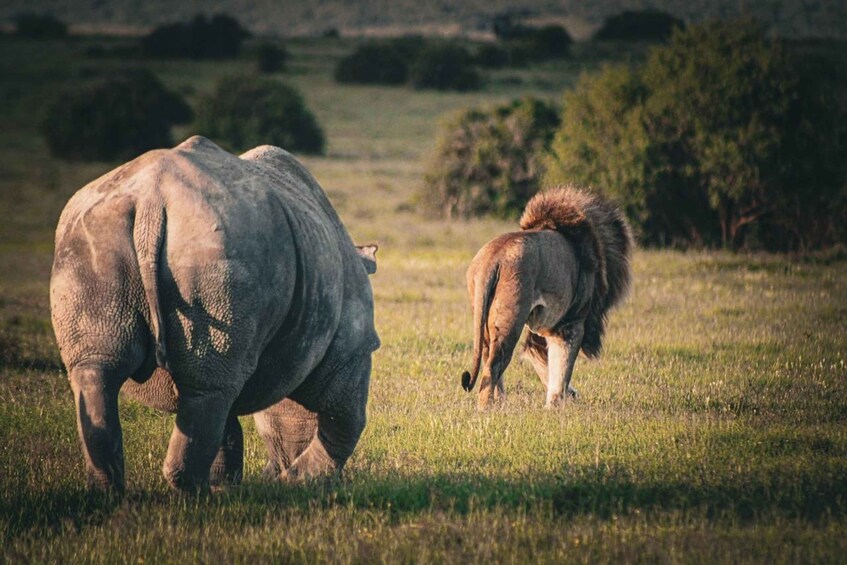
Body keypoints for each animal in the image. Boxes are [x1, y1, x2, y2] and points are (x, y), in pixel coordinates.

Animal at [50, 136, 380, 493]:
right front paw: (301, 482)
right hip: (220, 249)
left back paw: (113, 491)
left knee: (100, 369)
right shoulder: (352, 349)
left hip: (93, 235)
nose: (276, 473)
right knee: (205, 387)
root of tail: (152, 199)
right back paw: (195, 494)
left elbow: (231, 426)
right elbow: (344, 418)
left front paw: (238, 484)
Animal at [461, 186, 634, 409]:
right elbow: (561, 366)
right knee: (494, 365)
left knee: (488, 358)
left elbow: (544, 361)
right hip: (511, 318)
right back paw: (487, 408)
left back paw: (500, 404)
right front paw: (556, 404)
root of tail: (493, 258)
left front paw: (564, 397)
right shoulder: (571, 323)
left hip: (483, 317)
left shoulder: (549, 325)